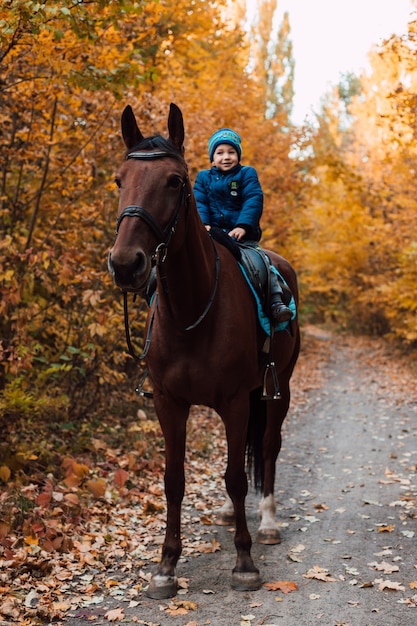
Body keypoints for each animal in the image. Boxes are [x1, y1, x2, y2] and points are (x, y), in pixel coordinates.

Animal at [108, 101, 300, 596]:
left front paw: (245, 561)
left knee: (267, 448)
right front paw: (166, 566)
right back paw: (232, 515)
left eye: (175, 181)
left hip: (277, 391)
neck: (192, 309)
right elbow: (174, 480)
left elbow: (236, 475)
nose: (125, 264)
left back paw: (267, 523)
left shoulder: (235, 399)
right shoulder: (169, 402)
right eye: (119, 180)